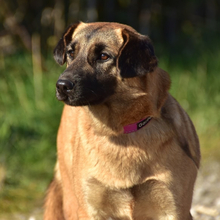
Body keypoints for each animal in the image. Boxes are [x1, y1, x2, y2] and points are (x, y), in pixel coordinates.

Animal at [43, 21, 200, 220]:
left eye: (103, 56)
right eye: (71, 53)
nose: (62, 86)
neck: (121, 131)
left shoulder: (173, 209)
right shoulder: (90, 209)